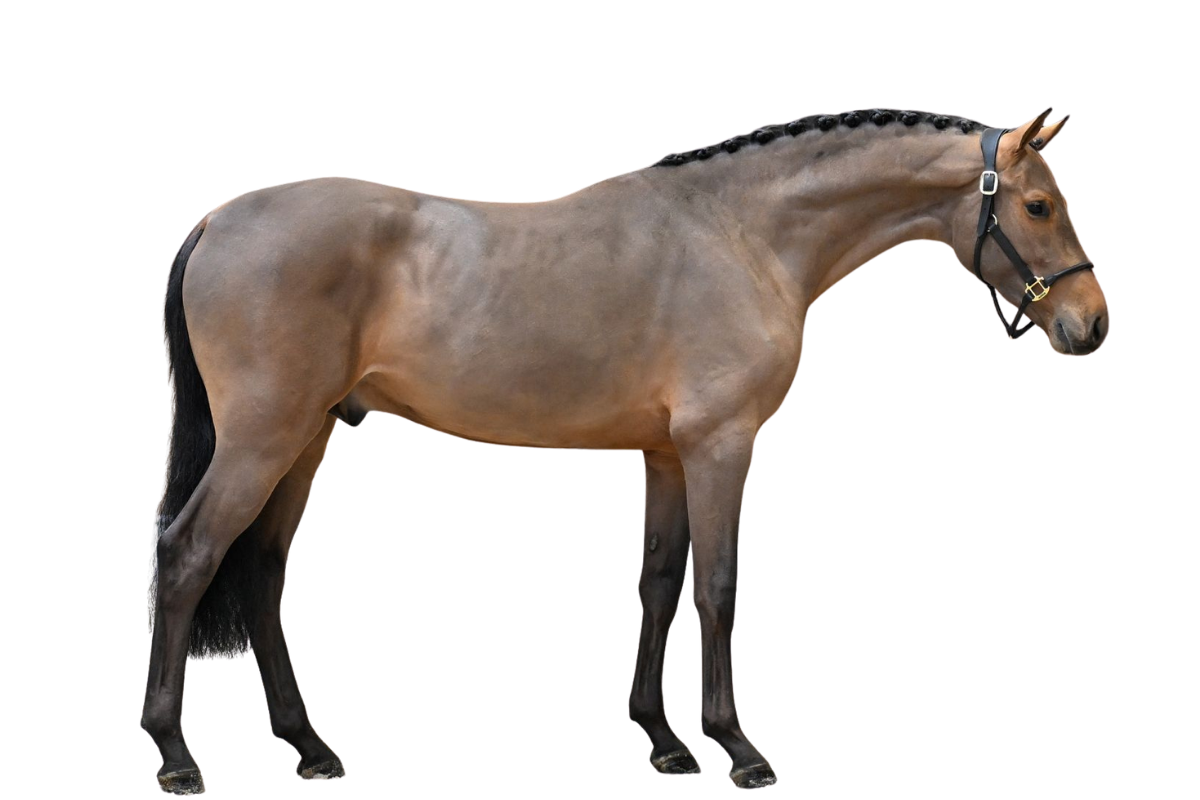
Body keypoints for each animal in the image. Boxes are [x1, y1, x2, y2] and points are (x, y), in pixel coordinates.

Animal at [144, 106, 1106, 795]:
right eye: (1038, 205)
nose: (1090, 325)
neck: (740, 234)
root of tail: (219, 219)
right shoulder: (722, 444)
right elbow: (717, 587)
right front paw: (738, 749)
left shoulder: (668, 454)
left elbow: (658, 580)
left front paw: (664, 740)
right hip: (262, 439)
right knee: (187, 556)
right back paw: (176, 756)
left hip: (305, 441)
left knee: (261, 569)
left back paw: (309, 747)